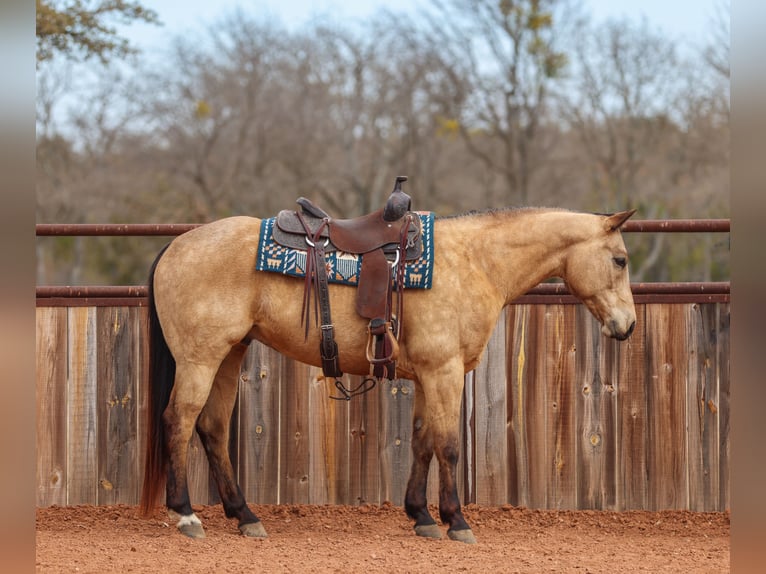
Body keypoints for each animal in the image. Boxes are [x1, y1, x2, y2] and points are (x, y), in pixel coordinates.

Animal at [139, 206, 637, 543]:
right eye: (620, 260)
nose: (627, 326)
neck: (476, 261)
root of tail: (177, 245)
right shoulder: (444, 371)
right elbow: (448, 444)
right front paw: (457, 521)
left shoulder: (428, 376)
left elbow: (422, 441)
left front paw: (421, 516)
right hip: (200, 359)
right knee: (179, 422)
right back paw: (186, 514)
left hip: (229, 355)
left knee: (212, 428)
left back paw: (244, 515)